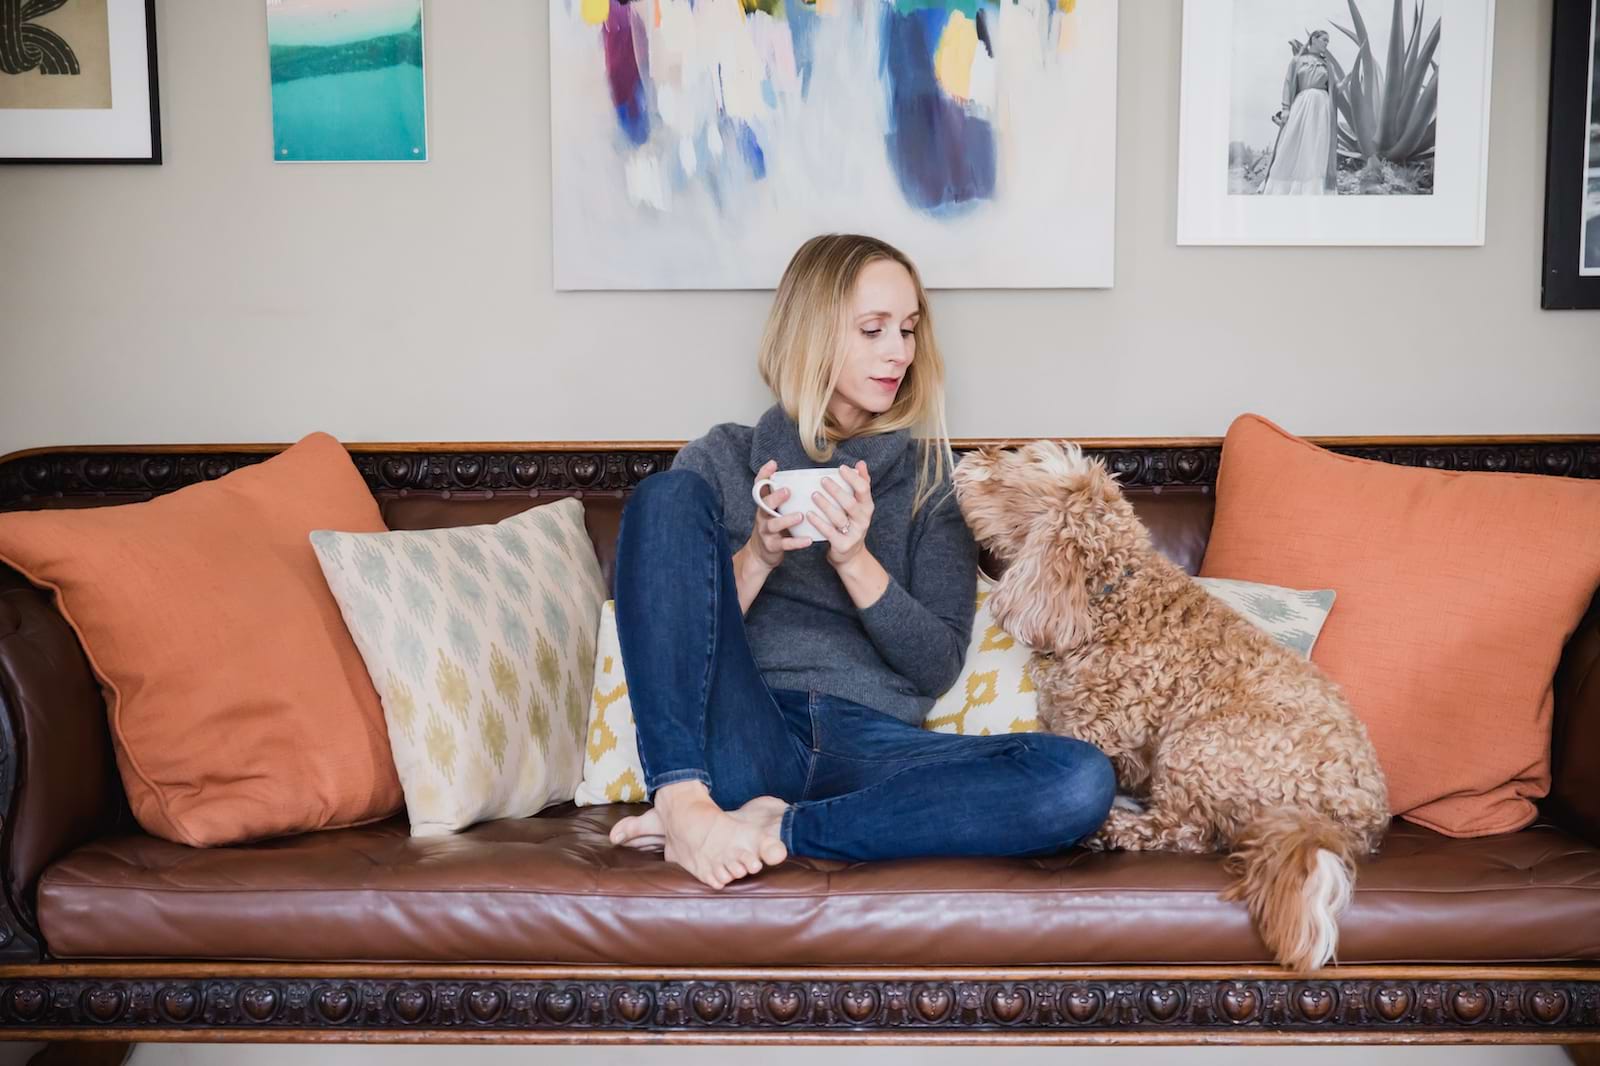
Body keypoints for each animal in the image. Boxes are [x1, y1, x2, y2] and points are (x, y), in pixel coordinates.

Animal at [947, 435, 1388, 966]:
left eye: (1019, 469)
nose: (971, 456)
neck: (1107, 597)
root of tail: (1351, 825)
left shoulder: (1097, 734)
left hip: (1199, 747)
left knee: (1186, 833)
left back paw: (1116, 830)